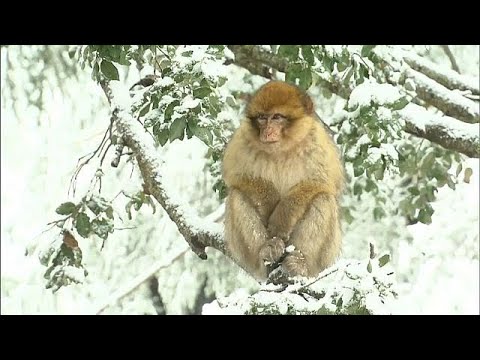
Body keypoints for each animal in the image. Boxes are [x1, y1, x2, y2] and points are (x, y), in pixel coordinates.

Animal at [223, 81, 344, 282]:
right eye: (262, 118)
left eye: (277, 117)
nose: (267, 131)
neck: (281, 150)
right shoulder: (242, 140)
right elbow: (237, 177)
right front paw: (269, 202)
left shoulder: (318, 143)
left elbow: (321, 183)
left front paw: (281, 220)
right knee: (236, 195)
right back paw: (267, 250)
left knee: (324, 199)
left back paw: (300, 263)